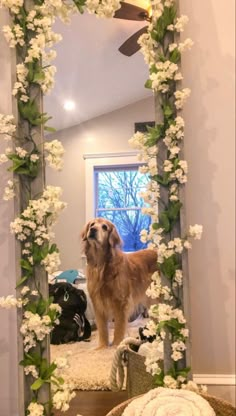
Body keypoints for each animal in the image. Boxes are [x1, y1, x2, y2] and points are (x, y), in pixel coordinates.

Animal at [80, 218, 157, 348]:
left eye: (104, 227)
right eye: (92, 224)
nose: (93, 230)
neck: (101, 265)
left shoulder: (120, 302)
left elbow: (119, 327)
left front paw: (117, 345)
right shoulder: (98, 303)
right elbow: (102, 329)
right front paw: (102, 347)